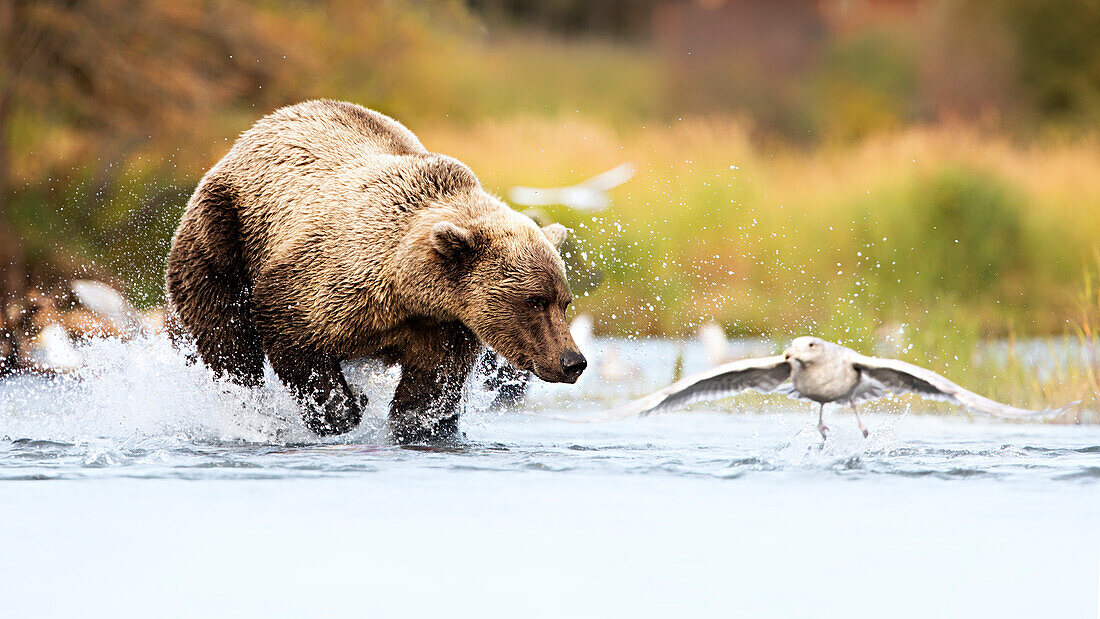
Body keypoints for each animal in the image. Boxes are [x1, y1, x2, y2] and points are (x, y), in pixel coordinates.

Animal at [165, 99, 585, 444]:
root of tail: (255, 131)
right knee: (225, 334)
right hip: (224, 228)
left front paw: (419, 424)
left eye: (563, 301)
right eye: (534, 301)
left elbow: (431, 387)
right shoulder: (327, 279)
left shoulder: (446, 327)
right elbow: (290, 330)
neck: (408, 289)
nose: (573, 361)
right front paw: (343, 409)